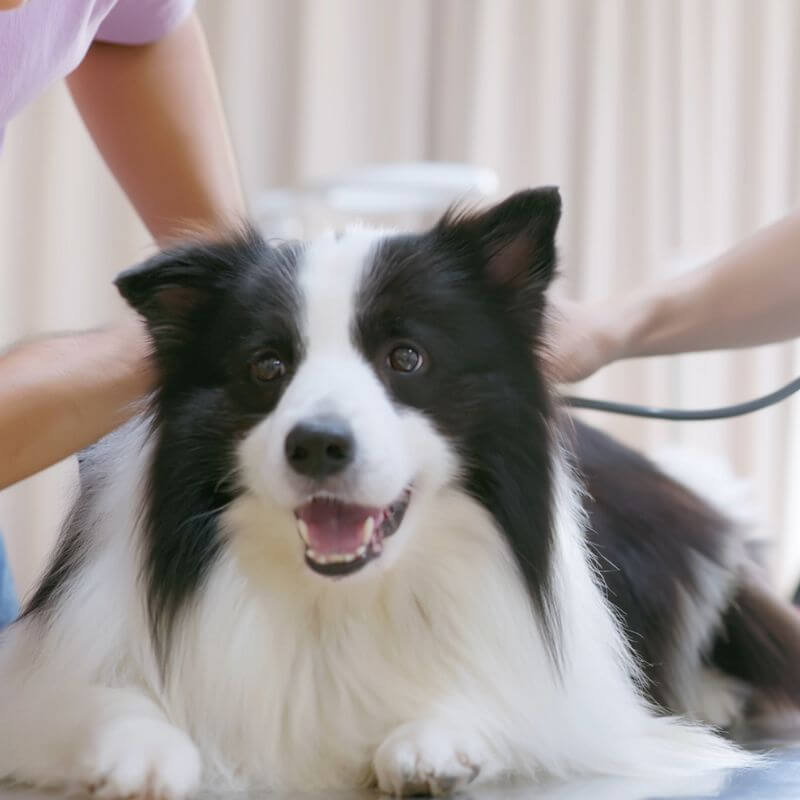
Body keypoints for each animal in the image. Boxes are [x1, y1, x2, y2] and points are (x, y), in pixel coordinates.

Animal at [1, 188, 800, 792]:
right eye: (267, 366)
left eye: (406, 357)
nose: (318, 444)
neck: (337, 598)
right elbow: (95, 703)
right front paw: (141, 749)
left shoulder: (575, 702)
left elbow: (511, 706)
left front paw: (436, 739)